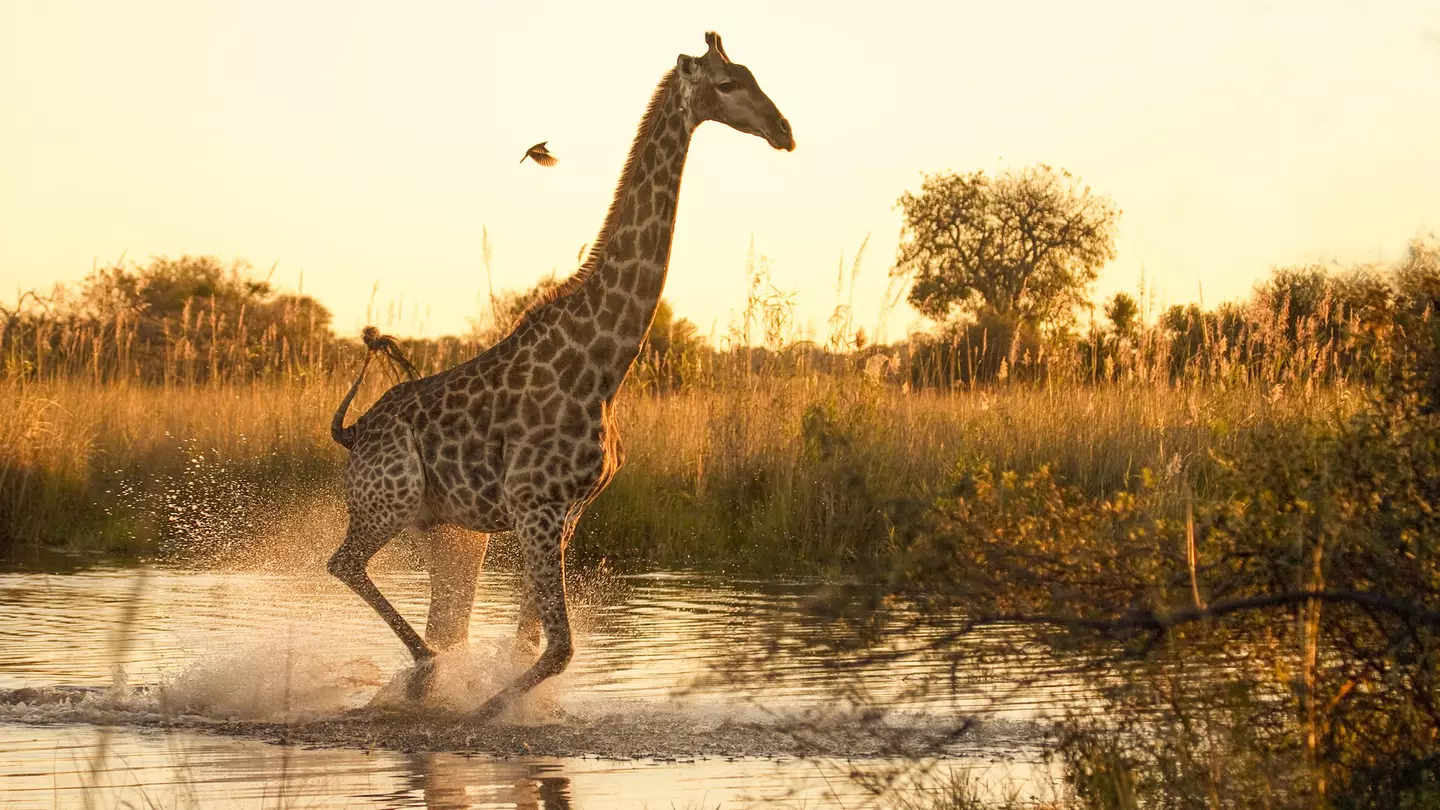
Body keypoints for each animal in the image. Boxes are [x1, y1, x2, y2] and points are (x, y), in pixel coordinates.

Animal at [328, 31, 794, 720]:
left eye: (753, 74)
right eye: (727, 84)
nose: (784, 130)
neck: (603, 368)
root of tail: (353, 432)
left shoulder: (564, 514)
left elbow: (531, 644)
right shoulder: (534, 508)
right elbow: (557, 649)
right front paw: (484, 713)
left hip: (450, 530)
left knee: (444, 617)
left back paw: (424, 678)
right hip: (389, 502)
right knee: (345, 566)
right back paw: (424, 673)